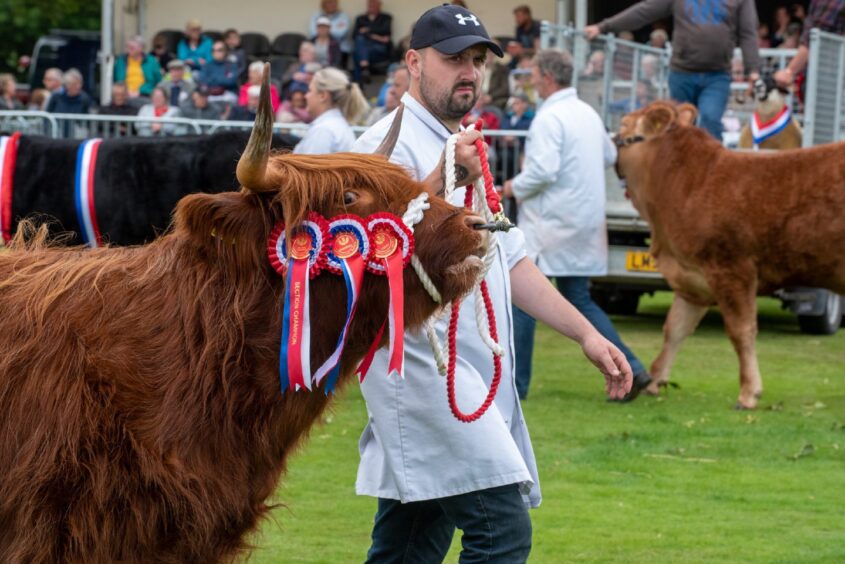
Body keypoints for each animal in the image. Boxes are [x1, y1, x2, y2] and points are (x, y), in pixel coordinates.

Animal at [612, 102, 844, 410]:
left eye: (625, 124)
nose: (611, 138)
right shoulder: (693, 279)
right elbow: (674, 329)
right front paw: (654, 380)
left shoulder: (731, 270)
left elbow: (741, 331)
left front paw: (748, 393)